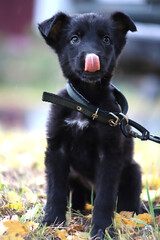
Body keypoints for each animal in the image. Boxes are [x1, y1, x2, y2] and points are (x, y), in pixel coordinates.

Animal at [38, 11, 141, 238]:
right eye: (74, 39)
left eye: (106, 39)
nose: (91, 57)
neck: (86, 103)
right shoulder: (57, 150)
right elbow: (55, 191)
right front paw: (52, 222)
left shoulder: (110, 155)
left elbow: (104, 198)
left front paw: (102, 230)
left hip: (133, 171)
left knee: (129, 206)